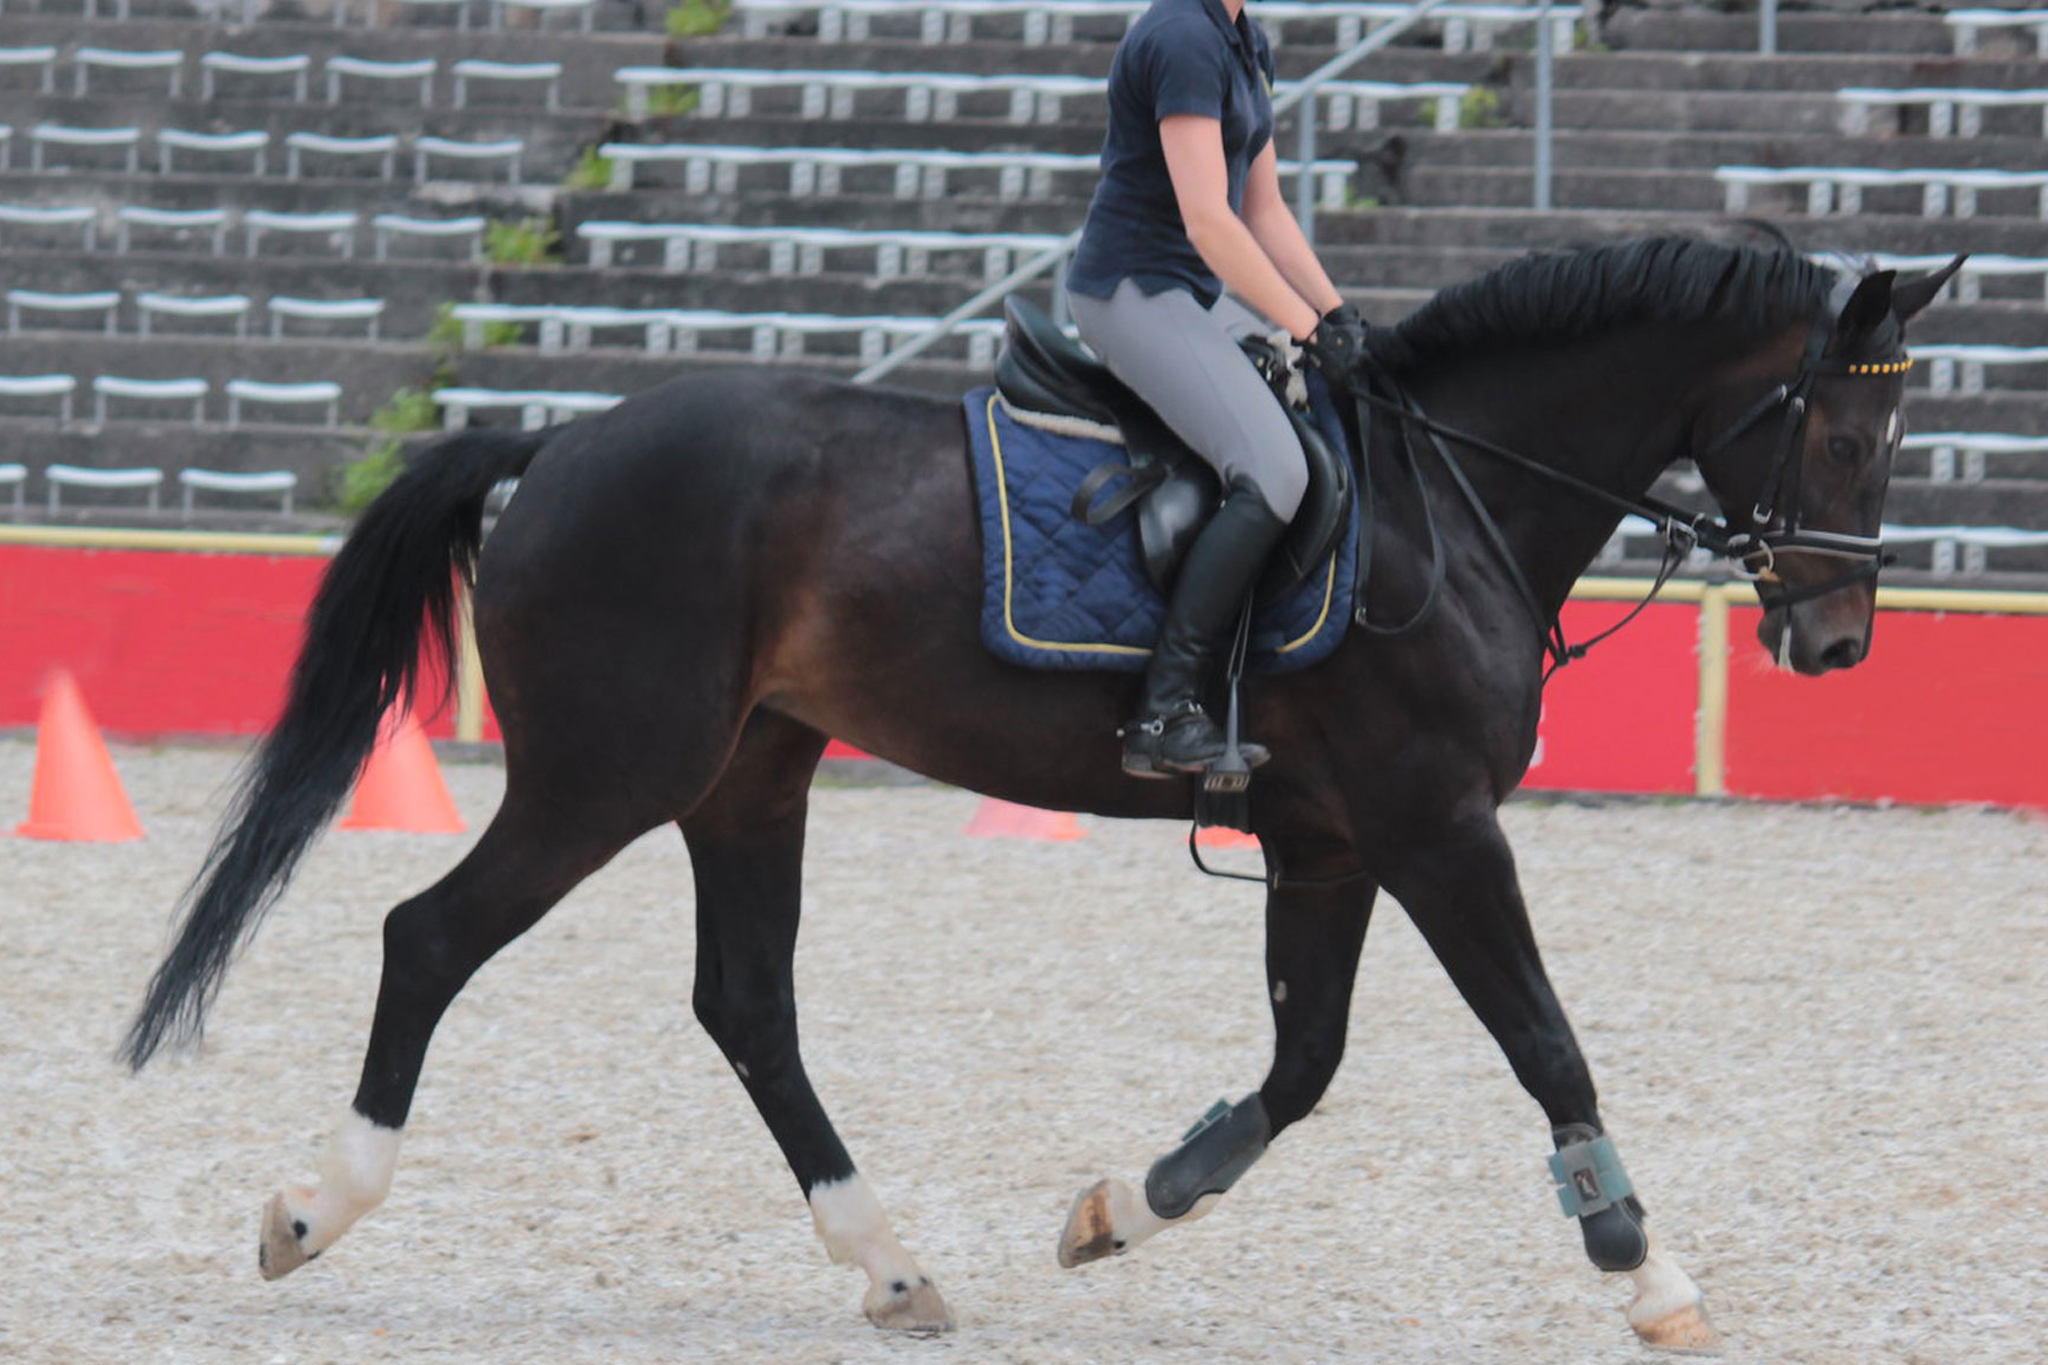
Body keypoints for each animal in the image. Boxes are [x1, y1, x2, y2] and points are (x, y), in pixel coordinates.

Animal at [123, 242, 1949, 1342]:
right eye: (1849, 443)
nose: (1838, 640)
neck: (1456, 494)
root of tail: (556, 441)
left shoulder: (1329, 840)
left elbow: (1300, 1067)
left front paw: (1122, 1210)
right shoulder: (1434, 825)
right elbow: (1543, 1043)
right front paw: (1645, 1271)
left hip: (748, 772)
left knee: (746, 1005)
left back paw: (893, 1265)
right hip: (606, 772)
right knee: (430, 940)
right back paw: (313, 1212)